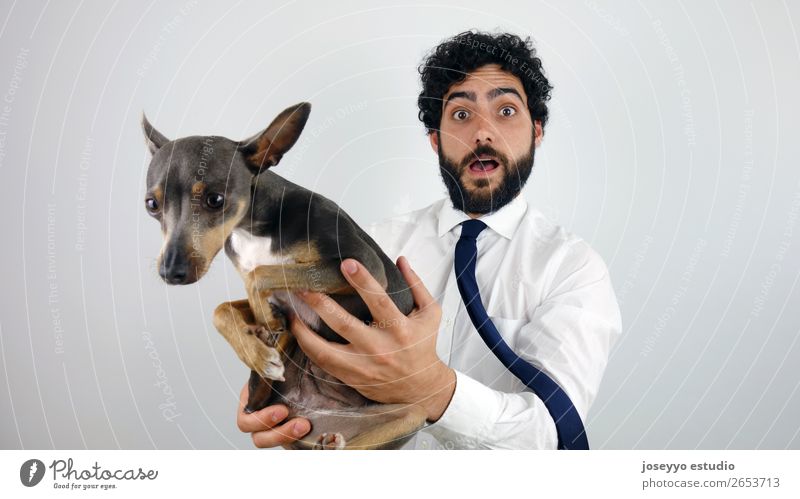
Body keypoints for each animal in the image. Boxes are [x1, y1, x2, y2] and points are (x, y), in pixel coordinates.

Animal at [144, 103, 432, 452]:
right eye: (151, 205)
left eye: (215, 200)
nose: (171, 272)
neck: (253, 227)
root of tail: (311, 409)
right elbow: (222, 308)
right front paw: (257, 345)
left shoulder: (363, 267)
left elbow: (260, 274)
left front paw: (265, 322)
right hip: (270, 405)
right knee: (259, 396)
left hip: (412, 414)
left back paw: (331, 441)